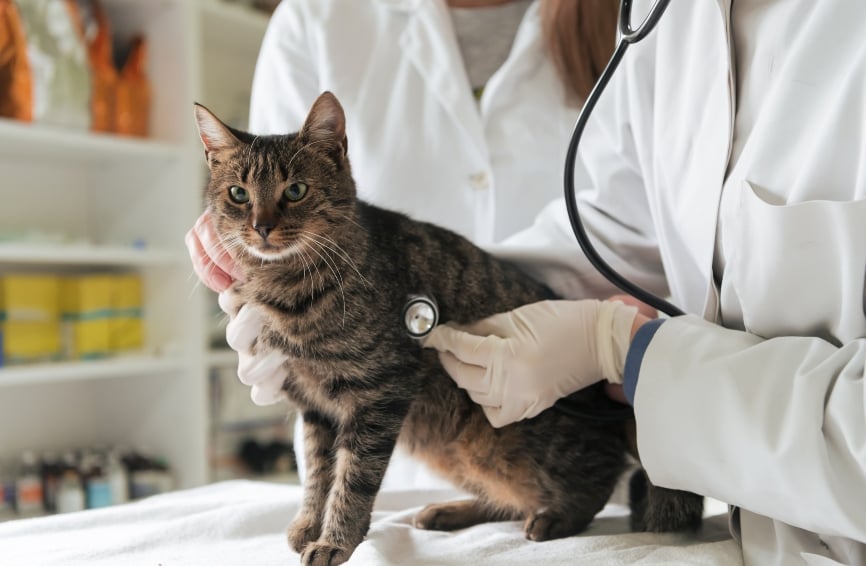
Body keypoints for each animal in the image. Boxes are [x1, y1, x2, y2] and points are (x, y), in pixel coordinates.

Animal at [192, 92, 700, 566]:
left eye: (295, 190)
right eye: (239, 194)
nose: (261, 226)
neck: (283, 287)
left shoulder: (381, 393)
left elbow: (352, 479)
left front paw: (336, 540)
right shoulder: (315, 408)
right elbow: (318, 474)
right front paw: (308, 525)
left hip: (506, 438)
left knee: (597, 477)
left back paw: (556, 517)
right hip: (458, 448)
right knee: (514, 495)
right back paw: (451, 510)